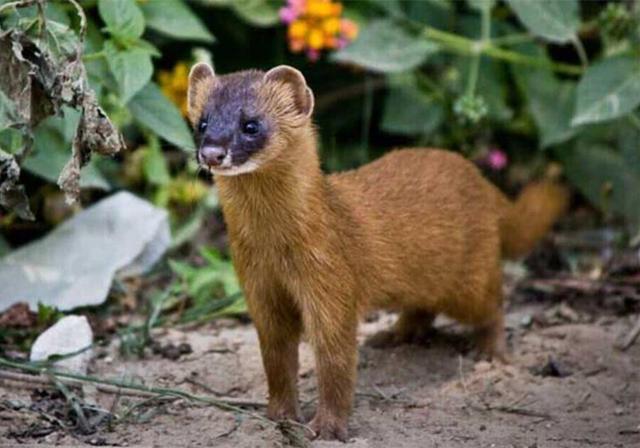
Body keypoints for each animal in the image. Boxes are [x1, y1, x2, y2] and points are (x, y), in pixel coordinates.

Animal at [186, 63, 568, 440]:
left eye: (251, 124)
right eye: (202, 122)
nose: (212, 153)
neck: (273, 248)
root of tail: (482, 181)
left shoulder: (331, 280)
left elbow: (336, 361)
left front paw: (328, 427)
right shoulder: (259, 288)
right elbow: (276, 359)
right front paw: (280, 415)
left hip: (470, 278)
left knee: (492, 304)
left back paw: (490, 353)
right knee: (423, 308)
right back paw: (395, 334)